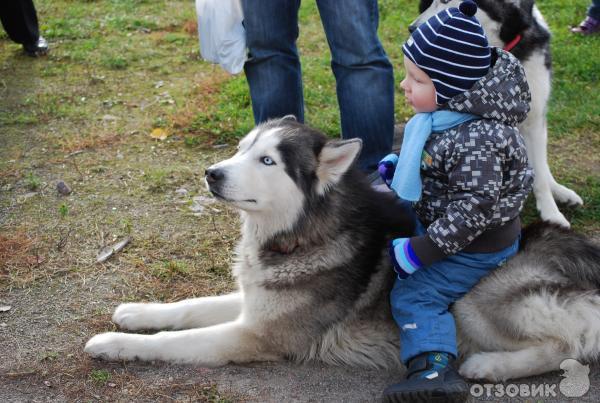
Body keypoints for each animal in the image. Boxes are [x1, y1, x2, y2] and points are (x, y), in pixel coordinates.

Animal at [86, 118, 600, 384]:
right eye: (241, 149)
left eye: (267, 161)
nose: (212, 173)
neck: (300, 233)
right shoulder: (257, 301)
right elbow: (191, 306)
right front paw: (137, 312)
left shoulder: (255, 336)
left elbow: (174, 341)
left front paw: (113, 343)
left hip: (476, 302)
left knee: (567, 348)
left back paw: (488, 367)